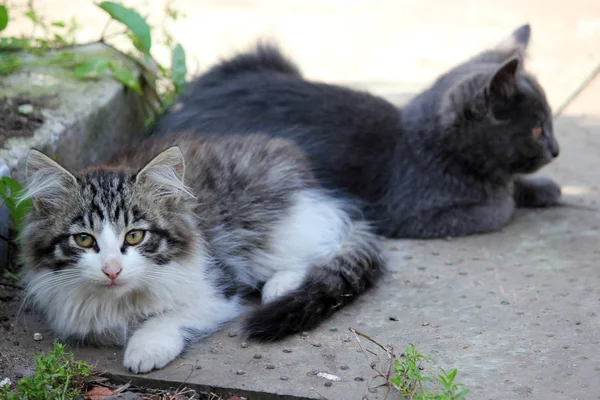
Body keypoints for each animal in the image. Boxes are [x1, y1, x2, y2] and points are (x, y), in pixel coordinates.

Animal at [19, 133, 384, 374]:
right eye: (84, 240)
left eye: (135, 236)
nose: (112, 270)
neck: (122, 299)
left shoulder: (218, 286)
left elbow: (168, 316)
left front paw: (145, 347)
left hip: (271, 231)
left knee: (324, 245)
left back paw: (281, 286)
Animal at [154, 25, 564, 238]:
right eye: (537, 129)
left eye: (550, 124)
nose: (557, 150)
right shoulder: (413, 215)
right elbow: (500, 207)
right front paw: (515, 195)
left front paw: (542, 187)